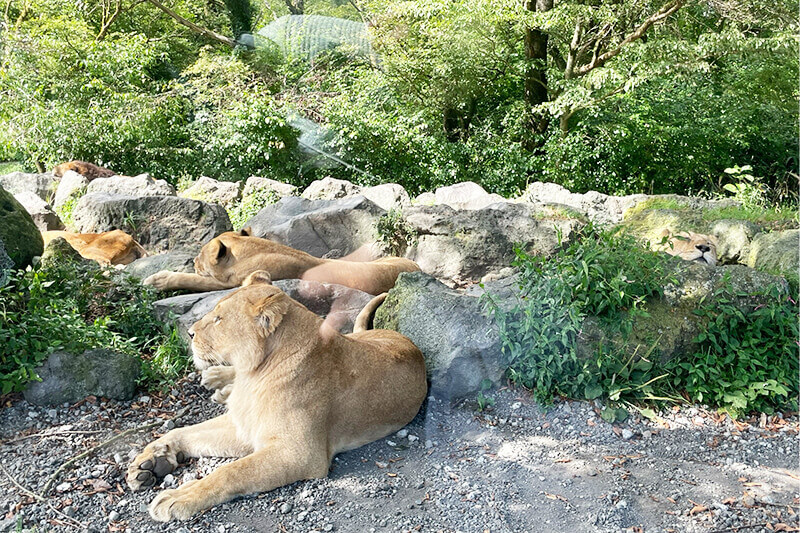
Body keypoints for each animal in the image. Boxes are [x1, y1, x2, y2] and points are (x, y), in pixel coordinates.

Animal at [126, 272, 424, 520]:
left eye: (219, 319)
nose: (189, 333)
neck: (255, 375)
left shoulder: (299, 453)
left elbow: (230, 471)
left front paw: (179, 496)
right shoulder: (244, 424)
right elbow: (185, 431)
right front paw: (150, 459)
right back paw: (217, 381)